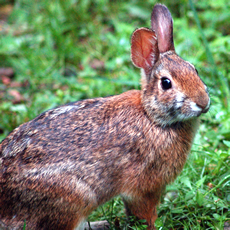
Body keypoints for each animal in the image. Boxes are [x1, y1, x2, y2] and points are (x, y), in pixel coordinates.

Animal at [0, 3, 210, 230]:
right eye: (166, 83)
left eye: (194, 69)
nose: (203, 102)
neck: (152, 117)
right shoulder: (143, 187)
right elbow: (145, 213)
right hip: (74, 198)